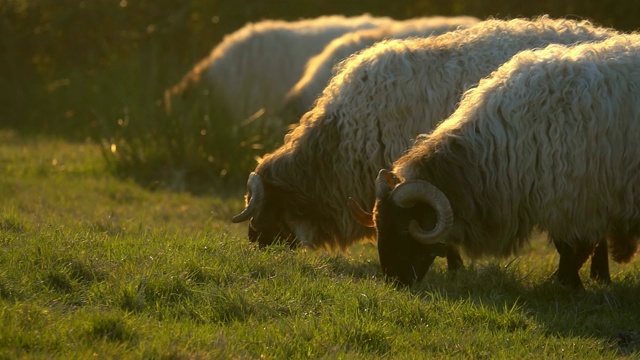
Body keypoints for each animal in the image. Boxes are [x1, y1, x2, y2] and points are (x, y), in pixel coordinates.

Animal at [372, 33, 640, 288]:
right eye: (379, 226)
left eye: (404, 227)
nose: (394, 281)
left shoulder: (577, 201)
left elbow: (574, 249)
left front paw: (568, 284)